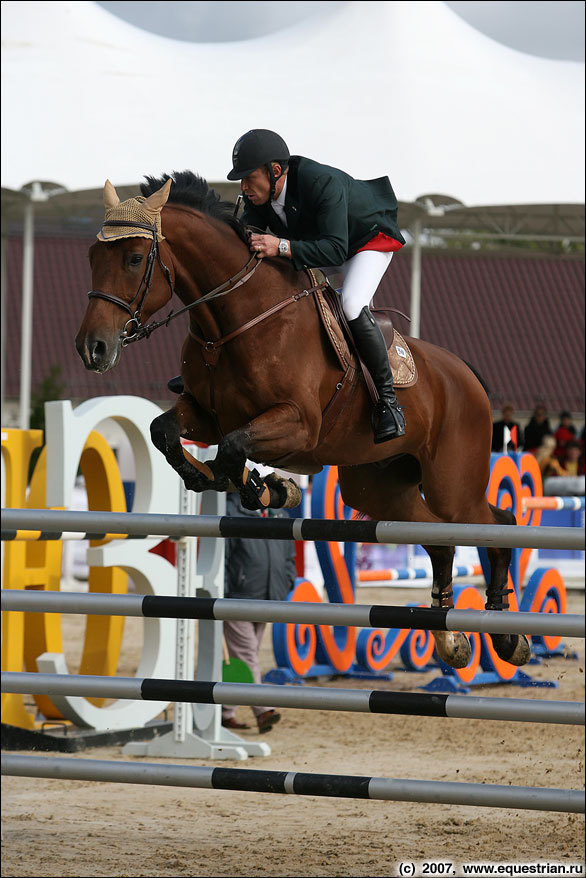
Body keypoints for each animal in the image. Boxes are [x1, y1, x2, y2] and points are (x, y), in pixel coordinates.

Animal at [75, 172, 532, 672]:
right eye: (93, 257)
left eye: (135, 259)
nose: (92, 348)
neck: (233, 321)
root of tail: (465, 373)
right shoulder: (205, 415)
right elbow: (166, 433)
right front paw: (236, 483)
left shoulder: (297, 425)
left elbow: (234, 449)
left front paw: (267, 488)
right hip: (380, 488)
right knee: (441, 541)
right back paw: (451, 636)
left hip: (453, 485)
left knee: (497, 524)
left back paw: (507, 635)